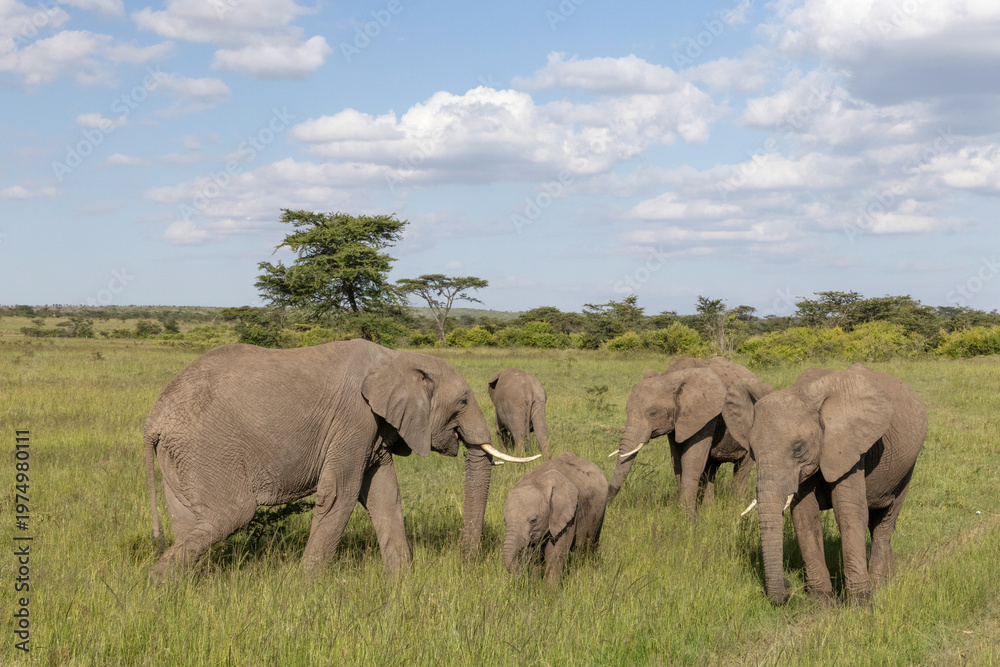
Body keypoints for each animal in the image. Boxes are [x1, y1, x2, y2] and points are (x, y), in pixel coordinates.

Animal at [144, 339, 537, 581]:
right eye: (463, 402)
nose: (467, 562)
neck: (397, 358)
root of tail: (154, 420)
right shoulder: (353, 419)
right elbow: (339, 495)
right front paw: (306, 586)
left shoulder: (374, 428)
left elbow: (385, 496)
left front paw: (402, 581)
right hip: (207, 448)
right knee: (231, 513)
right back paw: (155, 584)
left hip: (182, 455)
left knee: (190, 519)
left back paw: (185, 587)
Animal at [502, 452, 607, 587]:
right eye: (505, 521)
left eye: (533, 520)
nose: (520, 562)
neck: (537, 481)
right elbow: (535, 557)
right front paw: (535, 586)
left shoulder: (566, 517)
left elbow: (555, 555)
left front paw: (550, 591)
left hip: (599, 511)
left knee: (587, 547)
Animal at [607, 356, 772, 516]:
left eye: (653, 413)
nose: (607, 506)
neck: (670, 376)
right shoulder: (677, 422)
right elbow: (677, 460)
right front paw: (685, 512)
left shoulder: (706, 415)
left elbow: (692, 460)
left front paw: (687, 516)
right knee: (711, 468)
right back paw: (709, 508)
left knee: (741, 469)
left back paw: (736, 505)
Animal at [723, 363, 927, 605]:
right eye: (752, 450)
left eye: (798, 449)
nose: (786, 588)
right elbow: (804, 515)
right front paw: (820, 601)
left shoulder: (849, 448)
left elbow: (849, 513)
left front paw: (860, 605)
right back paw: (889, 578)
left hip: (907, 467)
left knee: (885, 521)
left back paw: (880, 585)